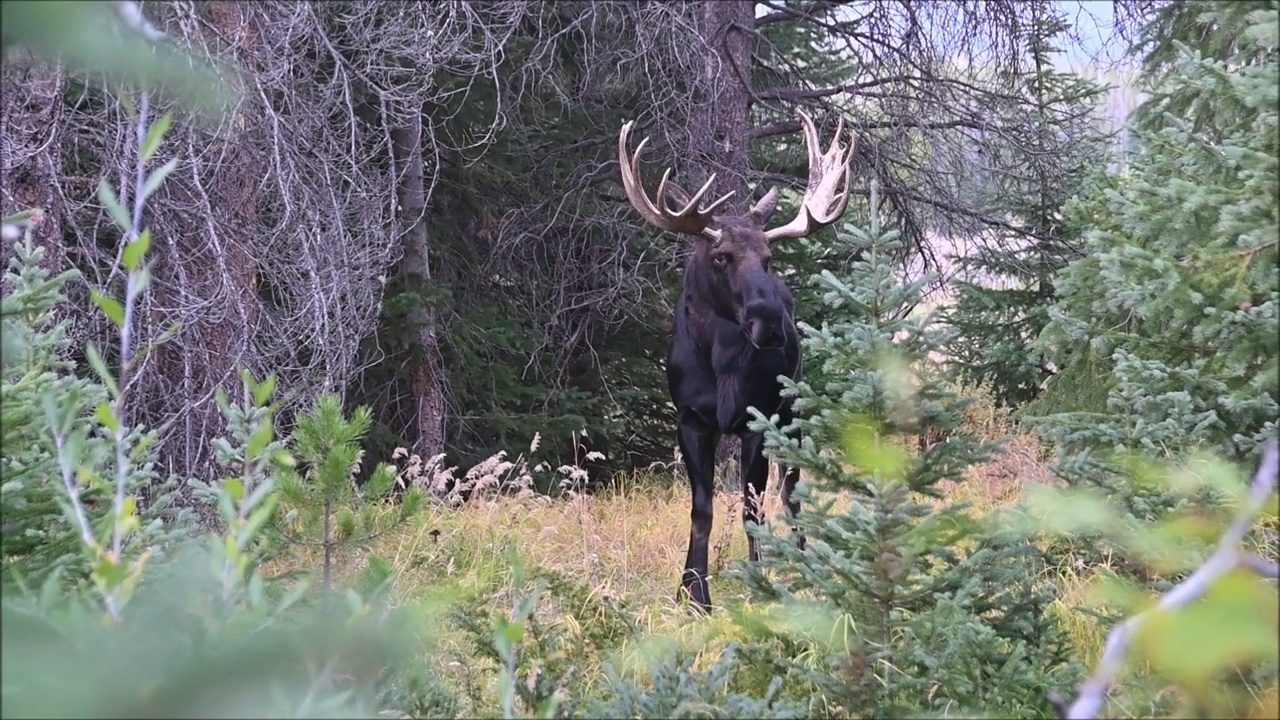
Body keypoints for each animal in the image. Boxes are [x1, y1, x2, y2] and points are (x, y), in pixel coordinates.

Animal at [616, 109, 855, 607]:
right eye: (722, 256)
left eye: (768, 257)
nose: (771, 323)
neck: (721, 365)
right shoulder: (690, 419)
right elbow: (702, 508)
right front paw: (692, 591)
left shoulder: (756, 418)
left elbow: (752, 505)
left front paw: (759, 581)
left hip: (793, 411)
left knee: (791, 490)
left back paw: (802, 560)